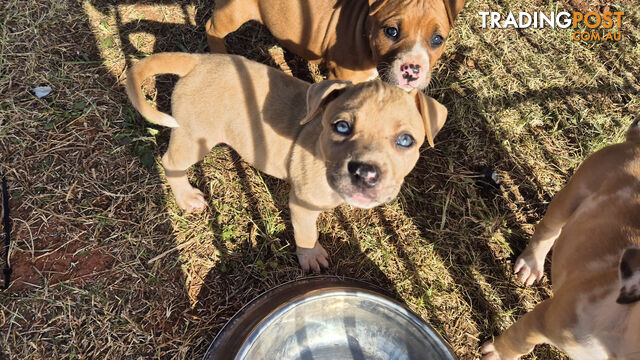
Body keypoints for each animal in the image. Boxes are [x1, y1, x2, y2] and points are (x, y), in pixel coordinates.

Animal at [124, 52, 444, 270]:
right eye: (341, 127)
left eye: (406, 141)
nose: (366, 173)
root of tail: (198, 60)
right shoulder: (301, 204)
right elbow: (306, 233)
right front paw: (311, 257)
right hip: (193, 138)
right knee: (169, 162)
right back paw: (186, 197)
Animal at [482, 121, 640, 360]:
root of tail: (636, 141)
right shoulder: (544, 319)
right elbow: (518, 341)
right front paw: (497, 354)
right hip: (573, 194)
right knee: (549, 230)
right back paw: (531, 265)